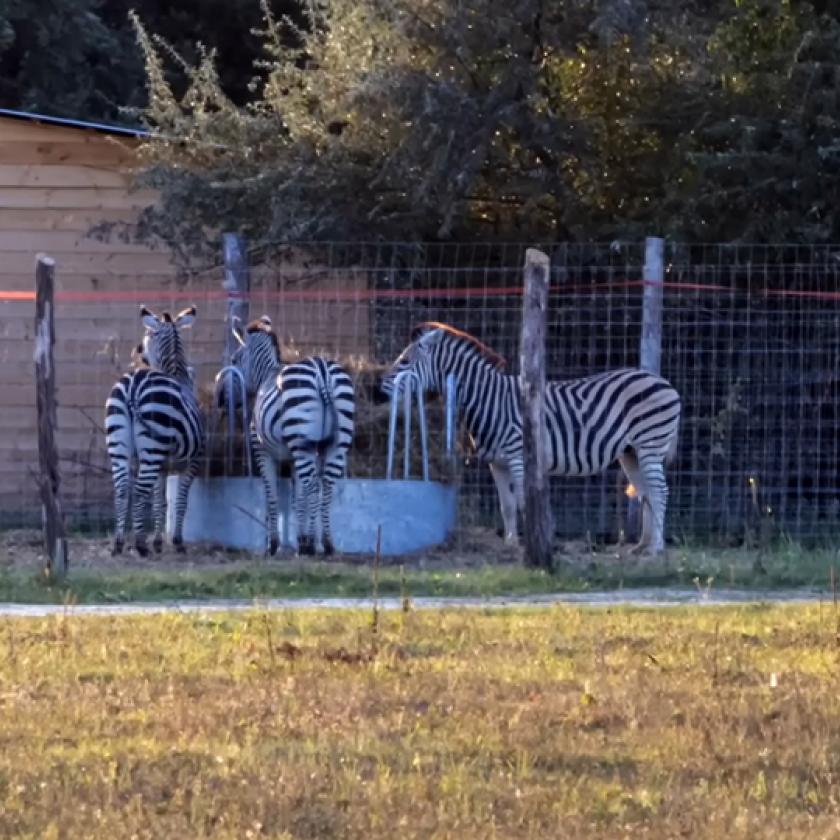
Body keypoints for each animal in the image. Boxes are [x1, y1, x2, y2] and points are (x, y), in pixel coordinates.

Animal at [104, 308, 205, 556]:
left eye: (148, 335)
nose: (137, 352)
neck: (176, 374)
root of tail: (133, 385)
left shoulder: (163, 464)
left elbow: (160, 500)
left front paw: (158, 542)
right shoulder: (193, 460)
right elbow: (180, 499)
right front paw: (176, 541)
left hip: (120, 443)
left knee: (122, 488)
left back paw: (119, 542)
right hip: (152, 447)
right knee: (140, 489)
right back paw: (140, 544)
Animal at [231, 316, 356, 556]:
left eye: (234, 359)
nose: (230, 398)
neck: (267, 374)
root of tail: (322, 370)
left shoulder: (263, 451)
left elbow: (272, 496)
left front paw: (274, 544)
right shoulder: (295, 455)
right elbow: (298, 499)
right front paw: (302, 538)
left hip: (301, 441)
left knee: (313, 486)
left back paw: (311, 546)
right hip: (335, 443)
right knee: (326, 485)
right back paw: (326, 543)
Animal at [382, 324, 684, 556]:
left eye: (405, 362)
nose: (378, 387)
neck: (490, 401)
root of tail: (664, 382)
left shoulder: (518, 456)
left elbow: (522, 502)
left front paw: (529, 545)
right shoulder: (496, 463)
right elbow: (506, 506)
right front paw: (510, 544)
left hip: (650, 444)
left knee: (660, 491)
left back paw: (656, 548)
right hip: (630, 452)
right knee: (646, 492)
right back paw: (641, 546)